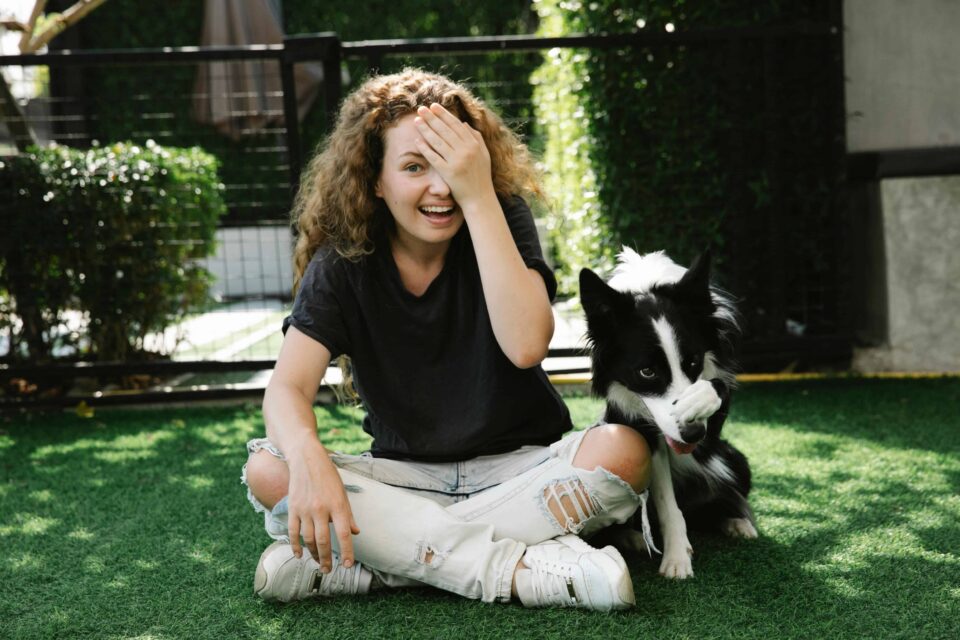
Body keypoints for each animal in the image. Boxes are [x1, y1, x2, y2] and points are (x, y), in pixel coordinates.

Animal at [576, 250, 756, 580]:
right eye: (647, 372)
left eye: (693, 362)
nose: (694, 434)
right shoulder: (641, 429)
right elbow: (666, 501)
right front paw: (677, 559)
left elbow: (717, 385)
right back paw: (631, 537)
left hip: (736, 460)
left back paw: (736, 523)